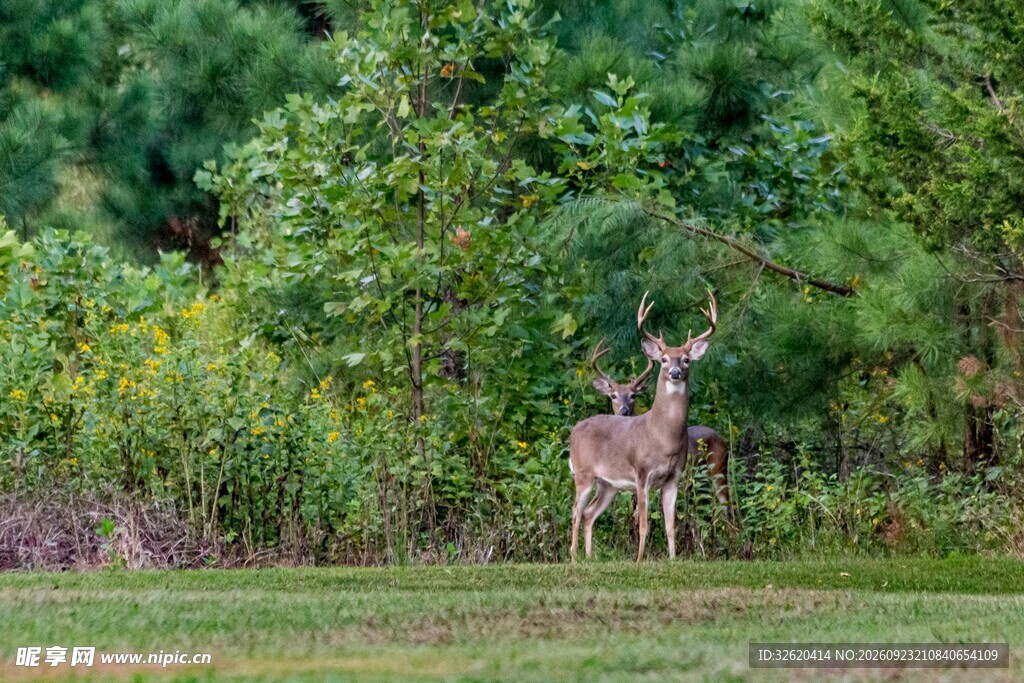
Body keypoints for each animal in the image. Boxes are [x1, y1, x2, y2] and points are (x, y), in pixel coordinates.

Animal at [569, 290, 717, 562]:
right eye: (664, 359)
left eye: (687, 359)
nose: (675, 372)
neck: (662, 436)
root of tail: (575, 430)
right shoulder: (642, 474)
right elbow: (644, 524)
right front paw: (638, 560)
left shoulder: (673, 477)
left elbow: (670, 525)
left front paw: (673, 559)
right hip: (583, 474)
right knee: (575, 511)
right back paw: (574, 557)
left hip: (608, 484)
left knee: (589, 514)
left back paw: (589, 557)